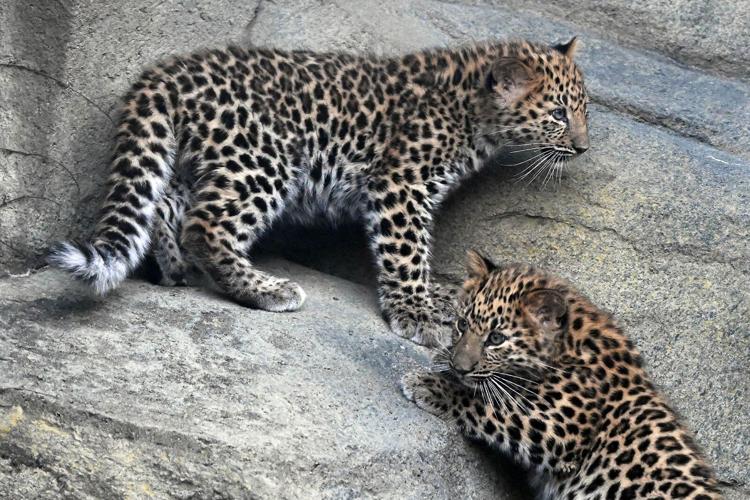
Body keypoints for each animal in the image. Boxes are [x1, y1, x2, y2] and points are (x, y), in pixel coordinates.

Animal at [49, 38, 589, 346]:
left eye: (583, 109)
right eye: (558, 113)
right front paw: (416, 313)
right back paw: (266, 289)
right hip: (262, 159)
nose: (583, 147)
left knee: (165, 203)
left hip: (200, 159)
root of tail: (170, 70)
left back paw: (177, 271)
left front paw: (439, 296)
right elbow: (407, 253)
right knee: (206, 225)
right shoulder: (401, 186)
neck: (473, 112)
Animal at [402, 251, 721, 498]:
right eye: (461, 324)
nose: (460, 366)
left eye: (496, 338)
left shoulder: (561, 427)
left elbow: (492, 406)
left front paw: (427, 384)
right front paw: (444, 359)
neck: (568, 344)